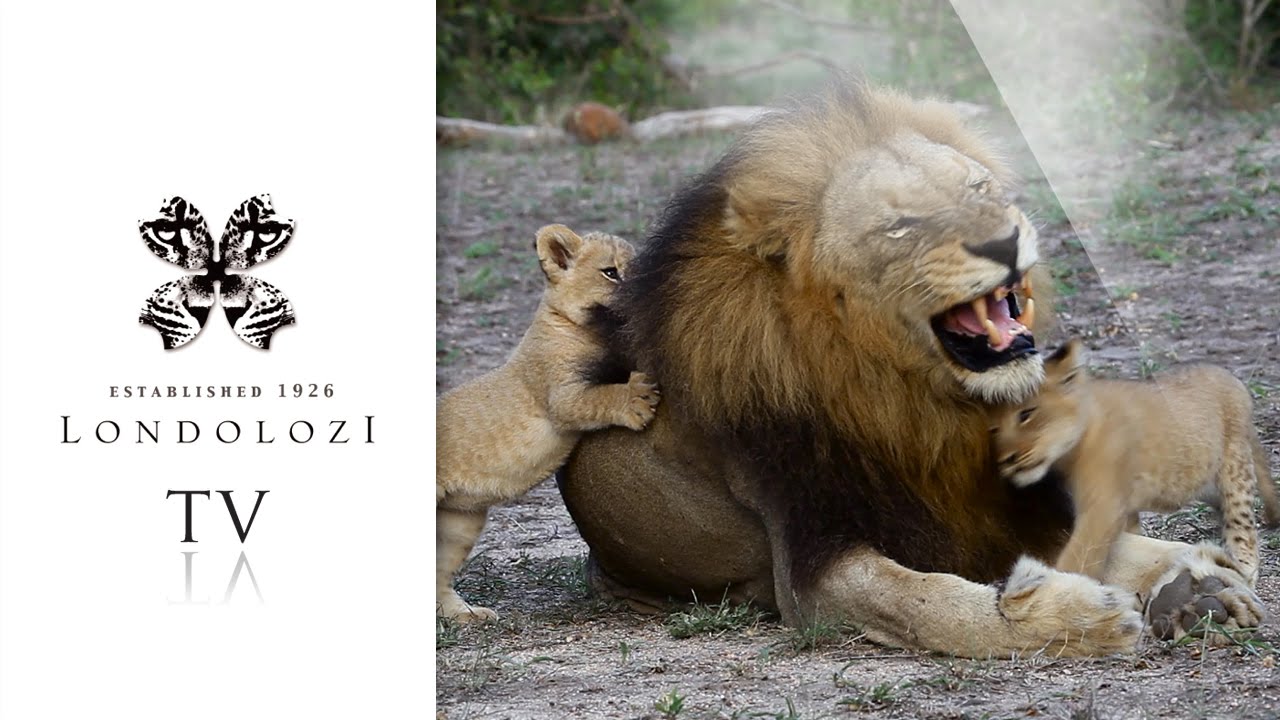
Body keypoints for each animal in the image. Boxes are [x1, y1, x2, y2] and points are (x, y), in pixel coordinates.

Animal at [437, 224, 660, 623]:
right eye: (610, 272)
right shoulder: (563, 397)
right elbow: (602, 397)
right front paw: (636, 399)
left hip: (459, 521)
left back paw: (468, 615)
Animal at [992, 338, 1280, 587]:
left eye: (1026, 414)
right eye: (994, 428)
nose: (1006, 460)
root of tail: (1234, 380)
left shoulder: (1103, 507)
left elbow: (1077, 557)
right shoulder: (1124, 508)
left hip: (1234, 469)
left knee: (1242, 525)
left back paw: (1243, 568)